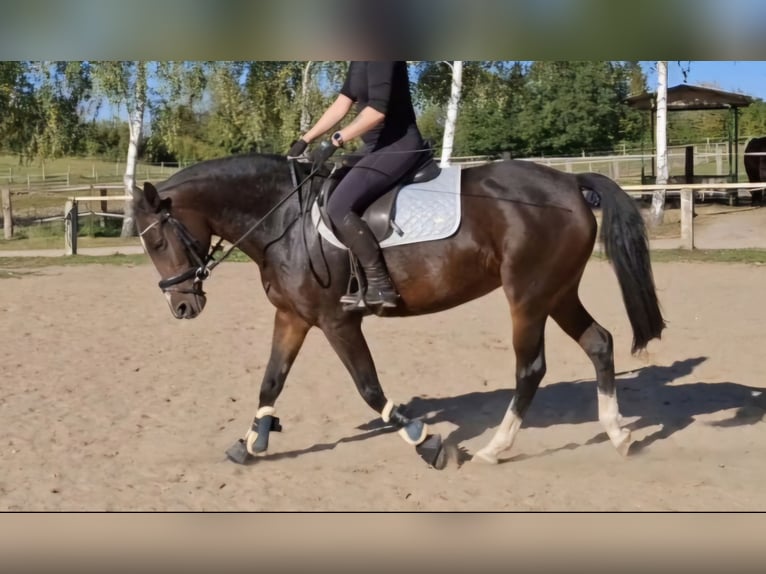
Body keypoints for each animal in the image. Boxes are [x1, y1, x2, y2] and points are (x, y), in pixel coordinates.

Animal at [131, 150, 666, 469]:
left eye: (156, 240)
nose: (182, 305)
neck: (284, 219)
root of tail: (570, 183)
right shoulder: (294, 317)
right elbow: (271, 381)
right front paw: (251, 443)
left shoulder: (336, 320)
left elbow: (368, 386)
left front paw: (424, 440)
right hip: (556, 292)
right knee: (599, 342)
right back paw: (618, 434)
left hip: (528, 297)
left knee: (531, 367)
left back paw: (495, 448)